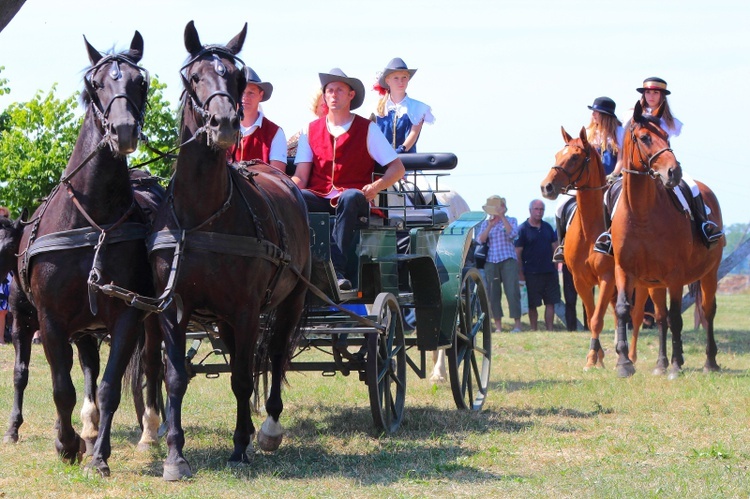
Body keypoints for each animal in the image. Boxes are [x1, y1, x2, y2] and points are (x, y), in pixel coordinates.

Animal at [9, 31, 162, 476]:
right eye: (96, 83)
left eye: (141, 82)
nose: (124, 129)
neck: (94, 221)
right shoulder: (50, 319)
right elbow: (63, 387)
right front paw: (68, 443)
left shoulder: (127, 314)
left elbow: (111, 386)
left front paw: (99, 457)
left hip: (150, 321)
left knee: (152, 367)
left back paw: (149, 432)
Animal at [147, 22, 312, 480]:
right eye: (193, 76)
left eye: (236, 78)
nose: (223, 123)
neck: (203, 216)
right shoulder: (174, 307)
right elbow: (175, 377)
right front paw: (175, 456)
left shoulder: (246, 308)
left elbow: (242, 377)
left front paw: (240, 446)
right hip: (222, 319)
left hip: (291, 299)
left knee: (275, 356)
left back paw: (268, 429)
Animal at [544, 127, 648, 372]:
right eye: (557, 155)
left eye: (574, 158)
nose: (547, 187)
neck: (589, 229)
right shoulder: (580, 280)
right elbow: (593, 317)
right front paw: (596, 357)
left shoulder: (607, 278)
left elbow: (597, 319)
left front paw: (595, 357)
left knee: (636, 315)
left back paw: (631, 355)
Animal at [612, 102, 724, 378]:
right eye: (644, 137)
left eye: (666, 136)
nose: (674, 172)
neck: (641, 214)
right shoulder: (624, 270)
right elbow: (624, 309)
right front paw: (624, 363)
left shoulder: (674, 275)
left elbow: (676, 317)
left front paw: (675, 365)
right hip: (655, 283)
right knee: (661, 317)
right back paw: (660, 364)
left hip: (709, 274)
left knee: (708, 312)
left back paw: (709, 362)